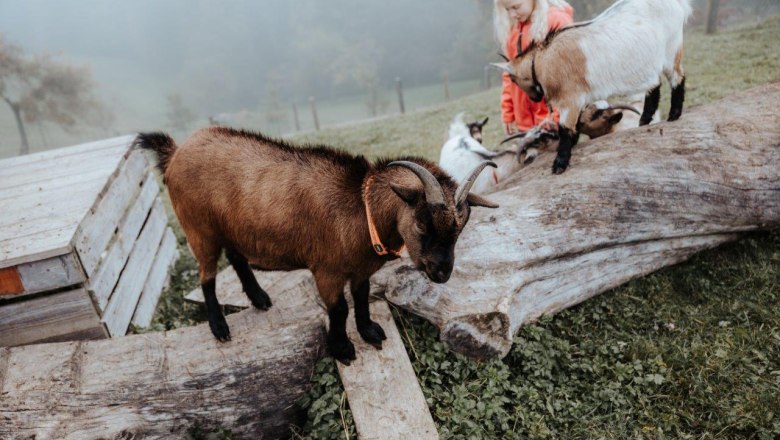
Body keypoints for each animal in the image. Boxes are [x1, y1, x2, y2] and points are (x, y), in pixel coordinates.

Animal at [135, 127, 496, 364]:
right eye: (422, 222)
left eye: (461, 227)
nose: (442, 272)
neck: (362, 210)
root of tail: (175, 152)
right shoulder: (327, 271)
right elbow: (339, 309)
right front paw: (342, 349)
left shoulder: (360, 270)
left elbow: (361, 298)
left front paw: (369, 331)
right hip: (199, 229)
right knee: (207, 276)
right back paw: (219, 326)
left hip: (231, 228)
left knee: (237, 258)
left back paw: (259, 298)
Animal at [496, 0, 692, 174]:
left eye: (512, 79)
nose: (535, 98)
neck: (541, 61)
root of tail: (676, 4)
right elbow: (576, 124)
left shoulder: (570, 99)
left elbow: (566, 128)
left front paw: (559, 165)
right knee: (654, 84)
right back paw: (644, 120)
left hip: (671, 51)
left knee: (677, 77)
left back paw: (674, 115)